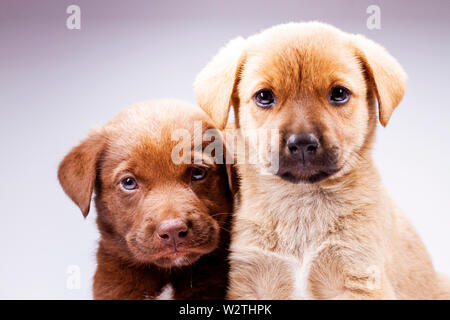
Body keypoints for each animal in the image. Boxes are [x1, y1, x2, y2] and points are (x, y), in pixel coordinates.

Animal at [194, 22, 450, 300]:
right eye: (264, 96)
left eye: (339, 93)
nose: (302, 144)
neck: (300, 204)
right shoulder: (250, 281)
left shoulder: (361, 276)